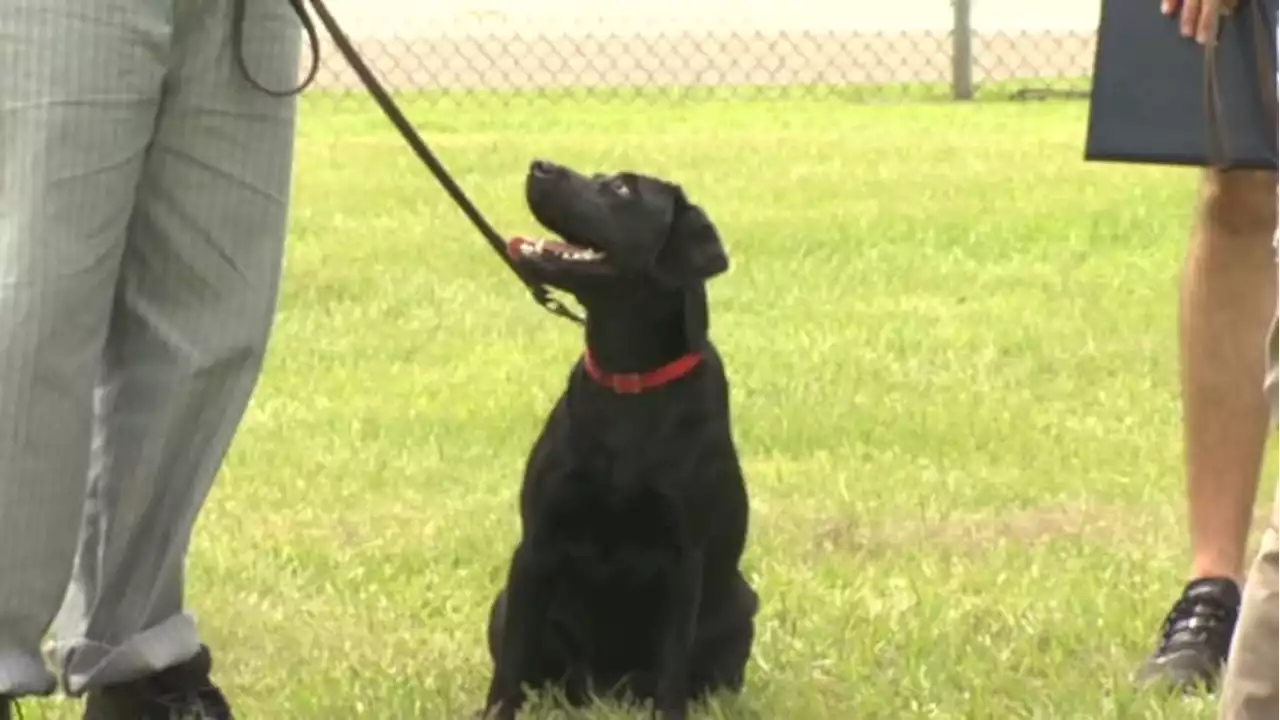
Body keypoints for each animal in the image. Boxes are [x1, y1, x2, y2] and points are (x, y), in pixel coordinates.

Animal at [481, 161, 757, 717]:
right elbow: (510, 665)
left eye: (622, 188)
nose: (539, 165)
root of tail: (602, 688)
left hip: (742, 603)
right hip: (505, 603)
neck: (628, 381)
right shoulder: (536, 544)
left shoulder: (684, 561)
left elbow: (672, 669)